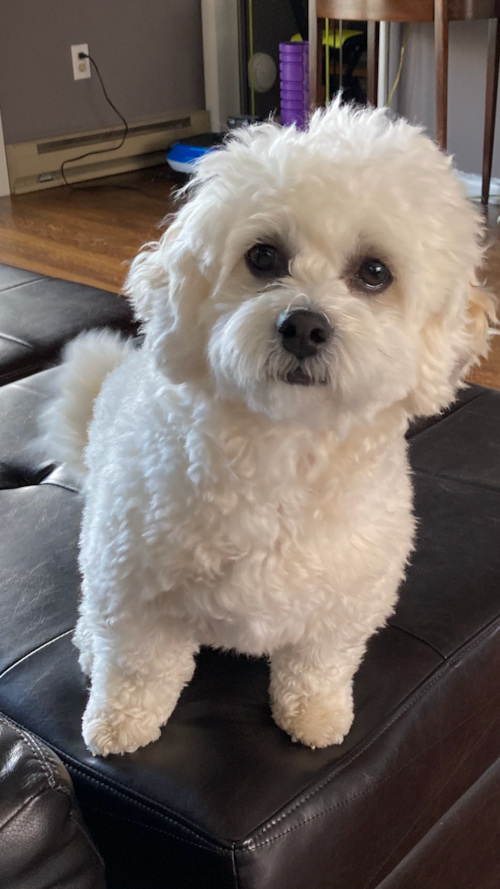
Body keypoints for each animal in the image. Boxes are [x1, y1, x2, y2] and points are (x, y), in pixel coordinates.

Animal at [46, 104, 492, 756]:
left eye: (374, 272)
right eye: (262, 258)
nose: (304, 326)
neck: (283, 448)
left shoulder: (346, 603)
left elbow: (319, 663)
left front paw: (315, 714)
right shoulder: (135, 585)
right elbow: (138, 666)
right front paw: (119, 723)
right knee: (93, 619)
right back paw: (84, 645)